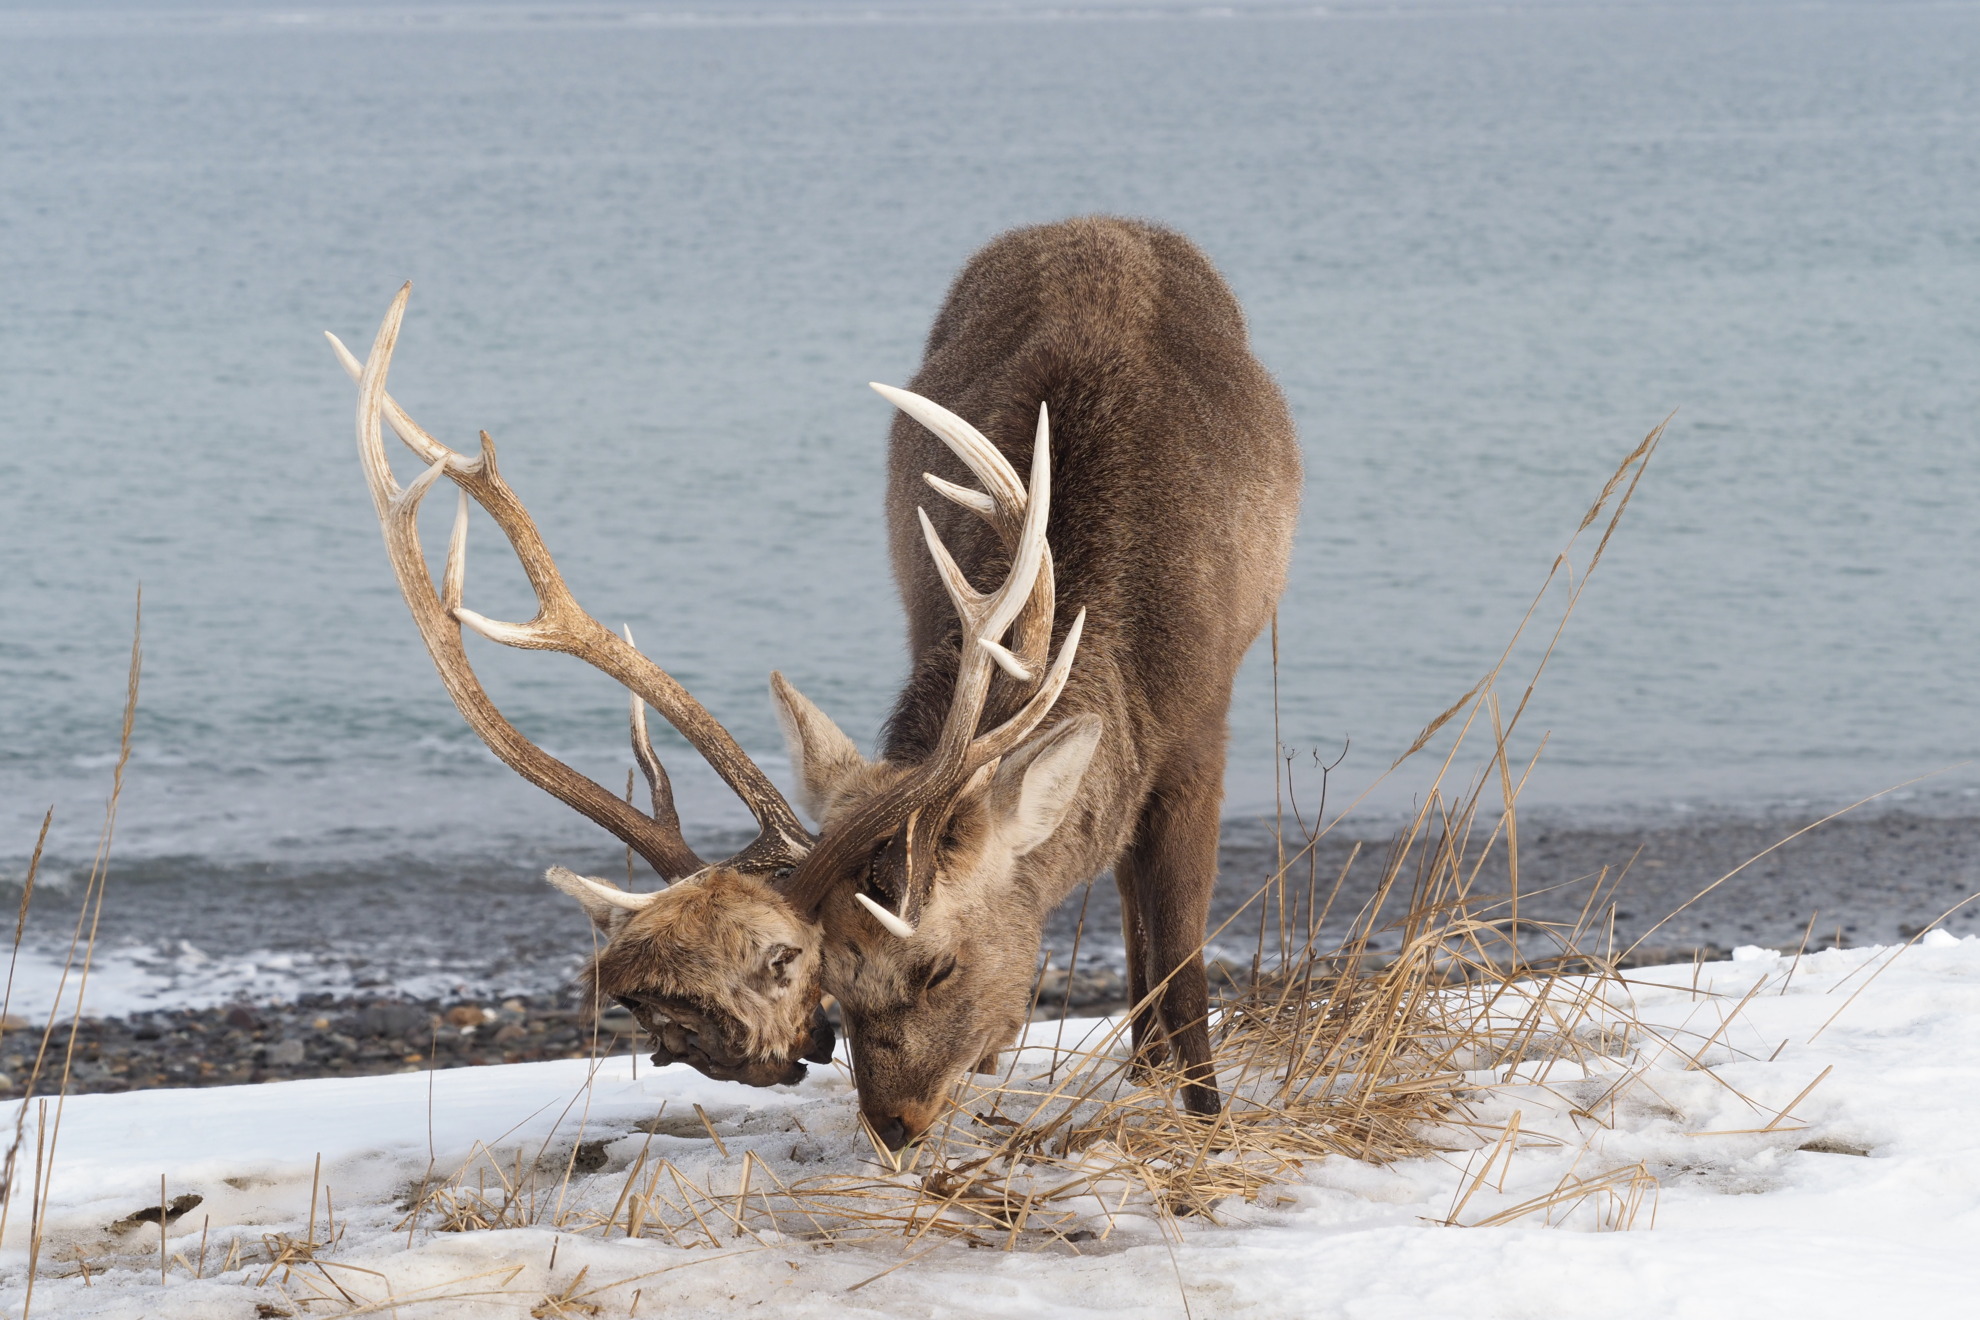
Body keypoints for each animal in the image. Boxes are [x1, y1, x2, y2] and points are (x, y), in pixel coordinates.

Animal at [332, 216, 1306, 1147]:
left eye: (939, 965)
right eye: (826, 970)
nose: (895, 1124)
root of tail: (1096, 220)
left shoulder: (1199, 734)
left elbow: (1181, 956)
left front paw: (1206, 1118)